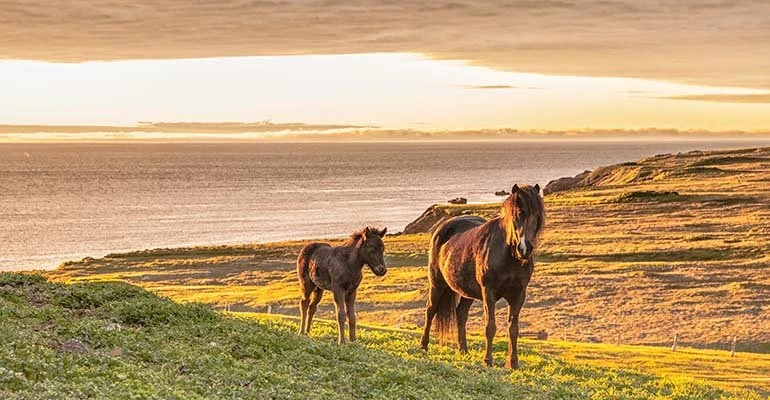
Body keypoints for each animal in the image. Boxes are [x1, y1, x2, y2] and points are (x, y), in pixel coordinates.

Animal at [416, 184, 544, 368]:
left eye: (537, 216)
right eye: (518, 213)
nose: (524, 248)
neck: (508, 255)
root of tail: (442, 228)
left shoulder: (519, 295)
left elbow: (513, 329)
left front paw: (513, 363)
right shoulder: (488, 293)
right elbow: (490, 327)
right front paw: (487, 360)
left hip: (466, 291)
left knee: (461, 314)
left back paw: (463, 350)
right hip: (437, 283)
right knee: (430, 310)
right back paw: (423, 345)